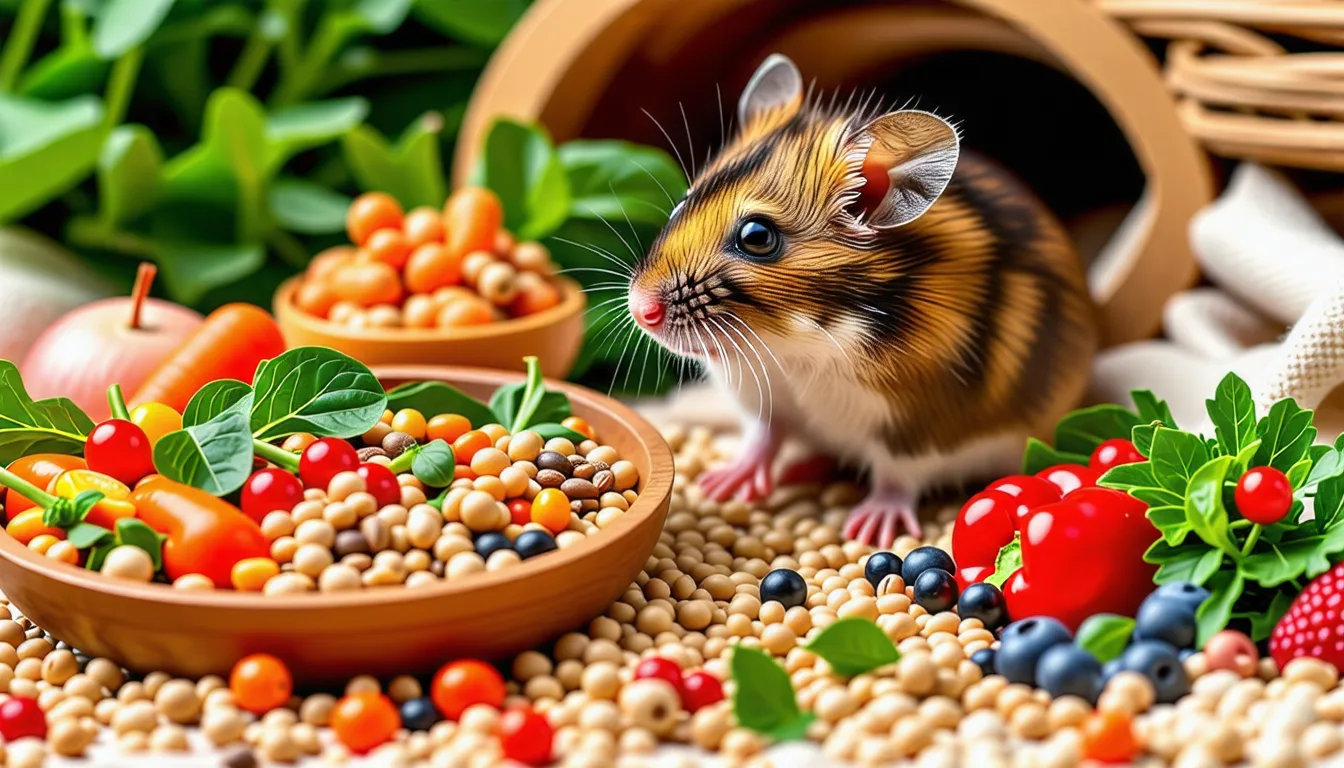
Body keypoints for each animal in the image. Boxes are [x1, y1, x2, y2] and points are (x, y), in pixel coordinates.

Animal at [628, 54, 1098, 547]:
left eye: (758, 236)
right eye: (683, 202)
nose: (641, 310)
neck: (796, 348)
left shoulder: (919, 423)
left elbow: (896, 475)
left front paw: (870, 530)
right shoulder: (763, 398)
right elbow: (764, 436)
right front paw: (721, 484)